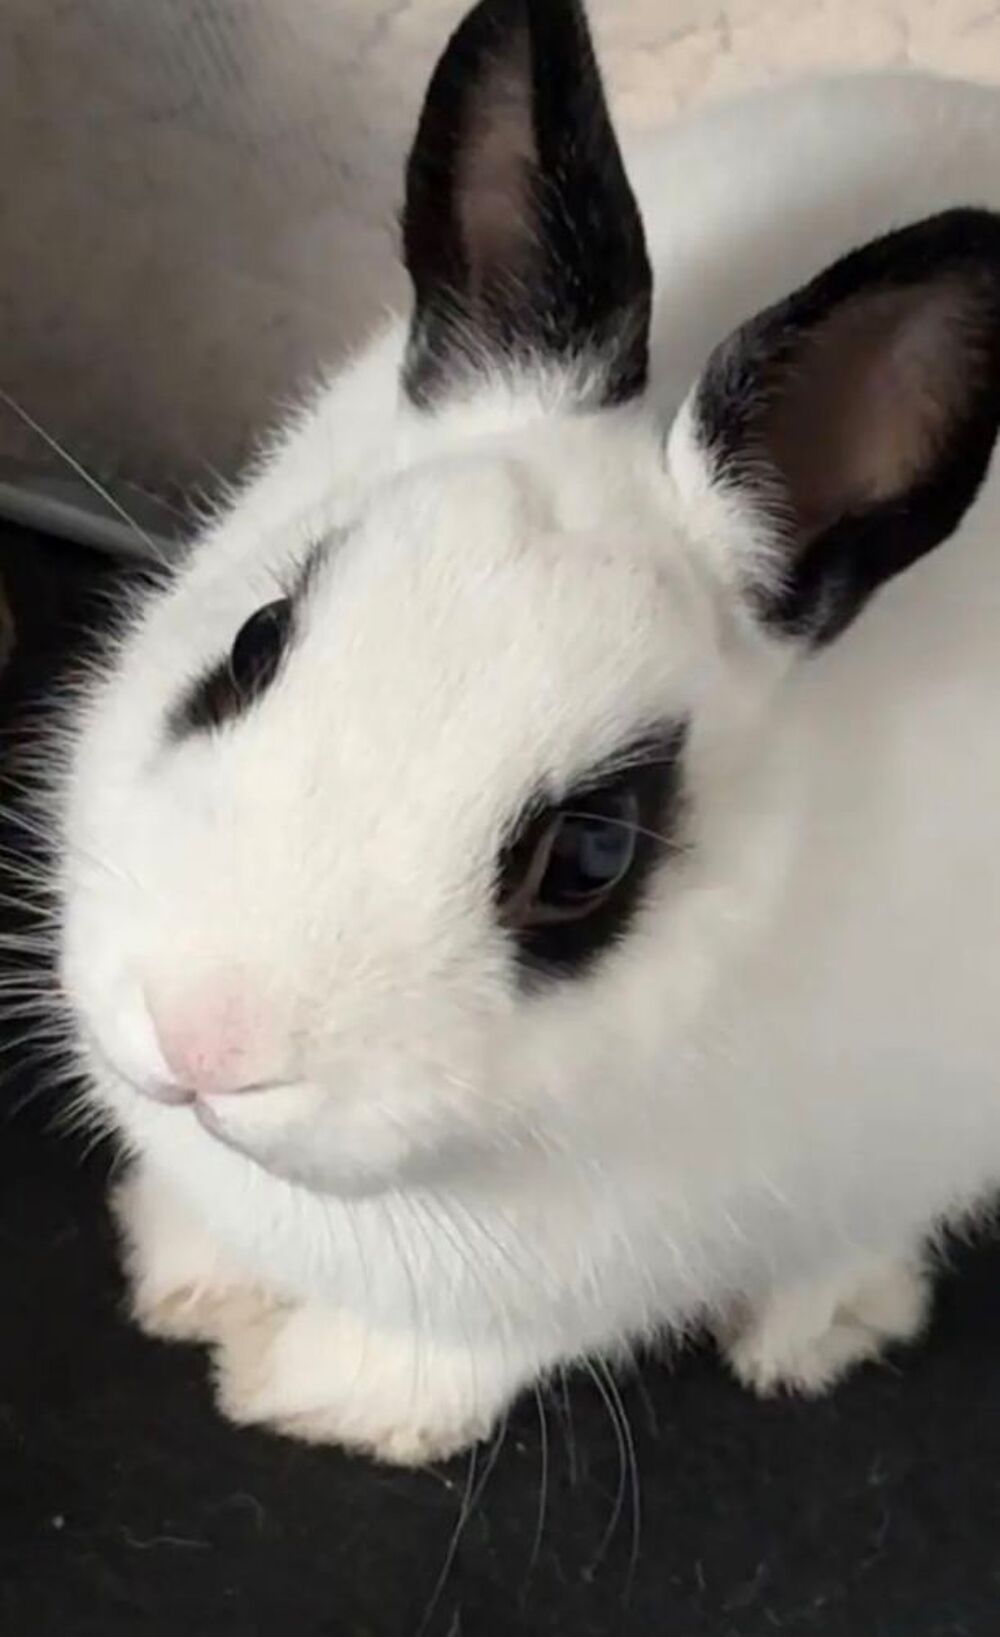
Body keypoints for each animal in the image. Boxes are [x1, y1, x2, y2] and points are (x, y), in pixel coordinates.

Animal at [52, 0, 1000, 1465]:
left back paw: (814, 1321)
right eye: (256, 642)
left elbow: (464, 1350)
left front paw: (312, 1390)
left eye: (592, 855)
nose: (204, 1040)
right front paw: (182, 1276)